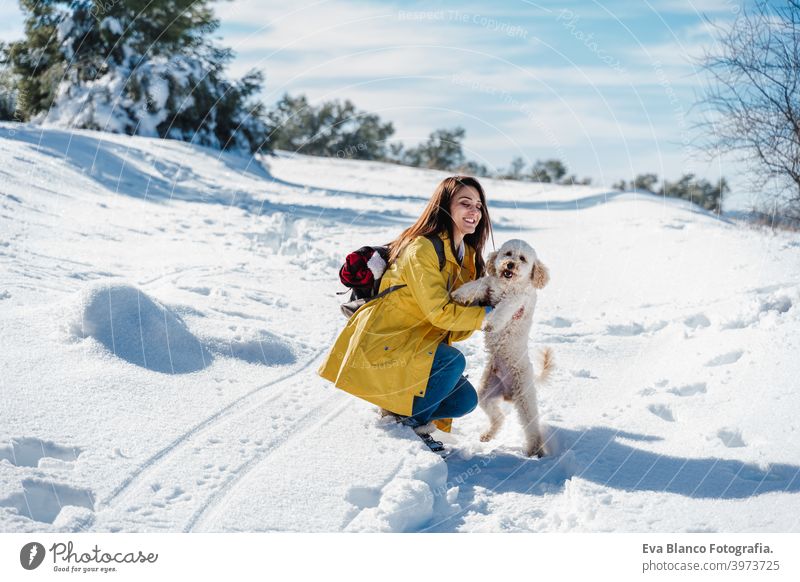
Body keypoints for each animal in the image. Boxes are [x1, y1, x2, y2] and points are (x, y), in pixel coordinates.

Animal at [454, 240, 552, 458]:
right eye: (507, 253)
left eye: (522, 258)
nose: (510, 265)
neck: (507, 285)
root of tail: (508, 393)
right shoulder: (489, 286)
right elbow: (478, 284)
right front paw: (458, 294)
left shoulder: (516, 301)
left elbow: (502, 309)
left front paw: (490, 324)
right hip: (486, 393)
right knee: (498, 417)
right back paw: (487, 435)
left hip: (524, 397)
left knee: (531, 427)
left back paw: (535, 451)